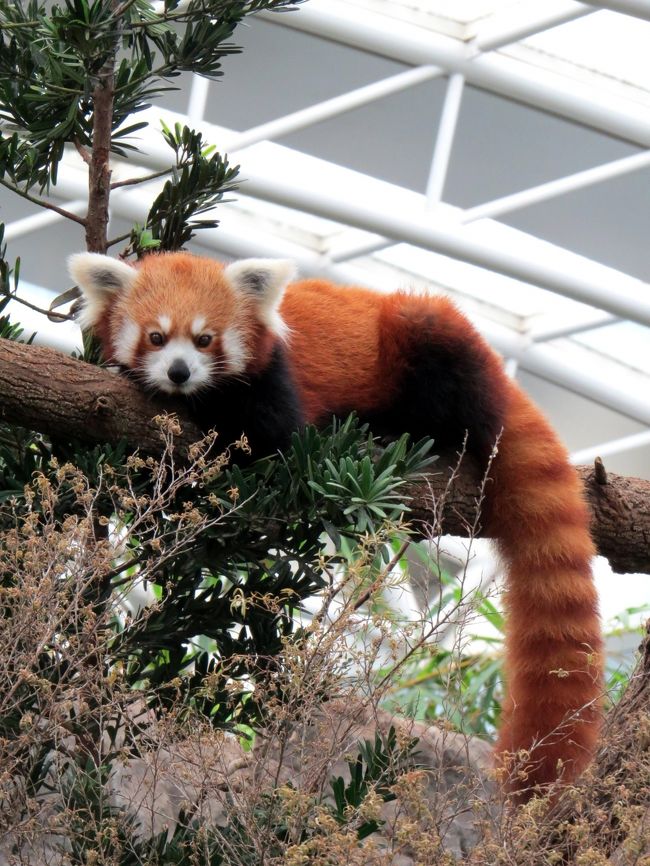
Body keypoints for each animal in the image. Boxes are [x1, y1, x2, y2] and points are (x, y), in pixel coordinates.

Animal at [68, 246, 600, 792]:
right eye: (155, 337)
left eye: (204, 339)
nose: (179, 372)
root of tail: (500, 373)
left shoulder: (274, 383)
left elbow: (269, 442)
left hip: (430, 341)